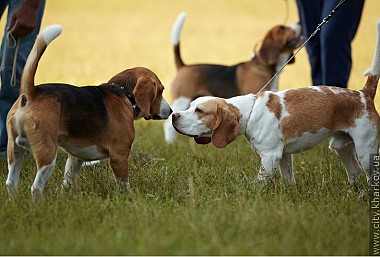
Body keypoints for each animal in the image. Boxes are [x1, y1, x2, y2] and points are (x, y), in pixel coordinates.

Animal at [6, 24, 172, 196]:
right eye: (161, 91)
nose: (171, 110)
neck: (123, 94)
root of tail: (31, 93)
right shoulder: (119, 155)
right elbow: (123, 183)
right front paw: (129, 197)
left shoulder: (76, 157)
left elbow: (68, 178)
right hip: (47, 153)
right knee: (36, 187)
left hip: (14, 150)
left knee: (11, 182)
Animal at [163, 12, 302, 143]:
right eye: (282, 28)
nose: (300, 22)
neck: (263, 66)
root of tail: (183, 66)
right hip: (182, 100)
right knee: (168, 125)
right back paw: (170, 143)